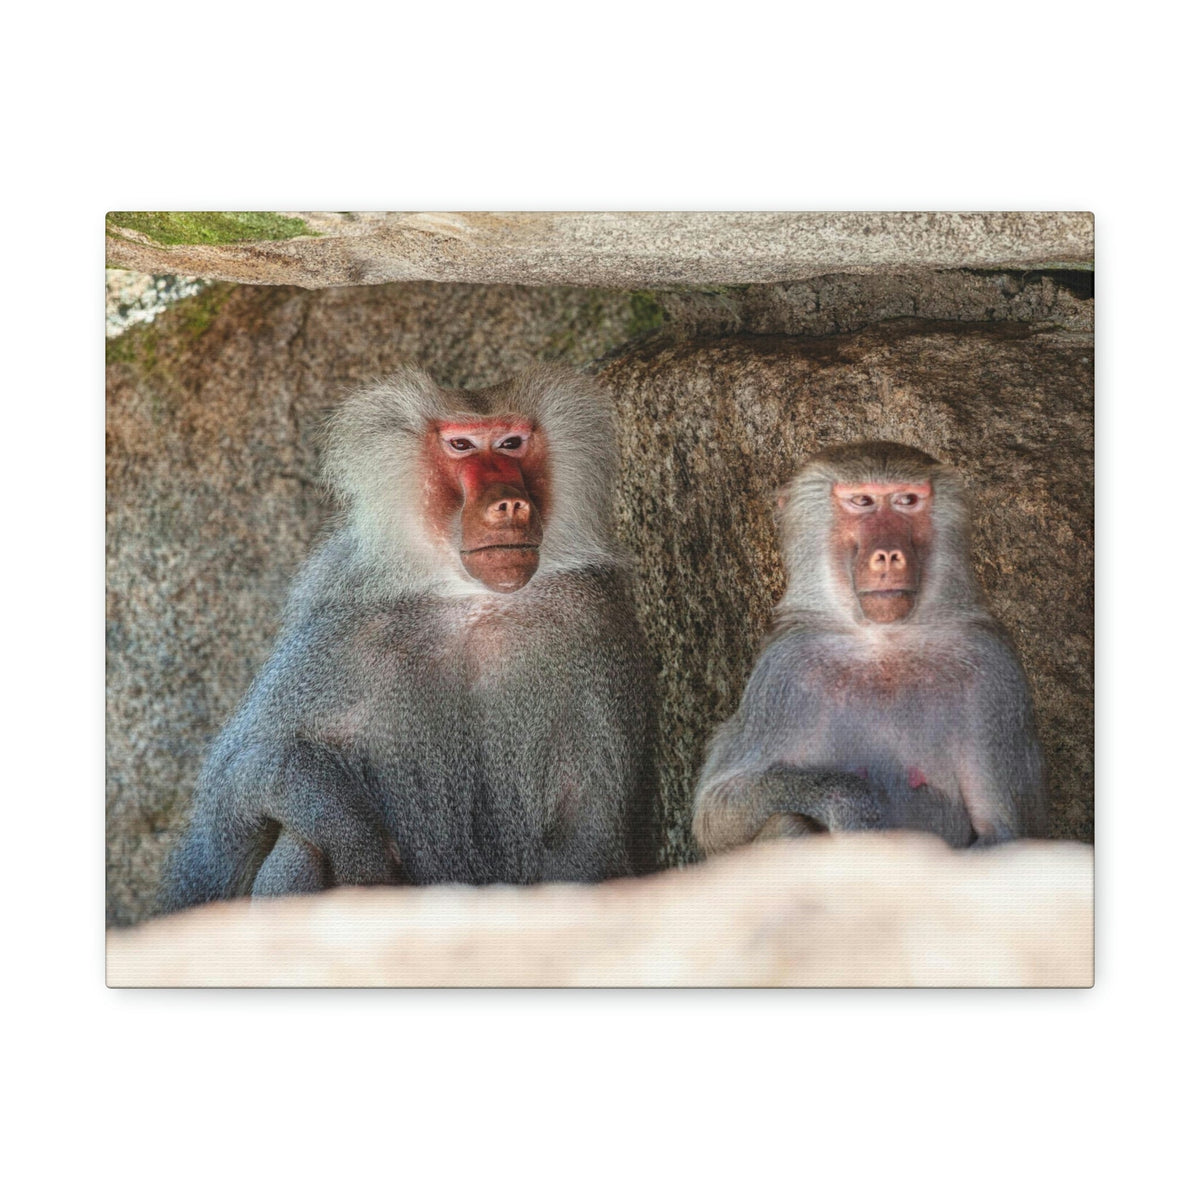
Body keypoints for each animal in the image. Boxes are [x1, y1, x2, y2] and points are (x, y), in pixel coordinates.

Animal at [159, 365, 658, 912]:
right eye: (461, 445)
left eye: (511, 443)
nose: (509, 504)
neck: (472, 600)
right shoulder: (340, 627)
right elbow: (232, 792)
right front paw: (355, 840)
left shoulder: (592, 622)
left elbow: (588, 834)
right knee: (298, 840)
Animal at [692, 441, 1047, 857]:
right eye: (862, 501)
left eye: (907, 500)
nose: (890, 554)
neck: (885, 644)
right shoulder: (784, 673)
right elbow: (716, 811)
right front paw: (851, 804)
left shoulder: (994, 674)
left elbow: (1003, 833)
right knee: (787, 822)